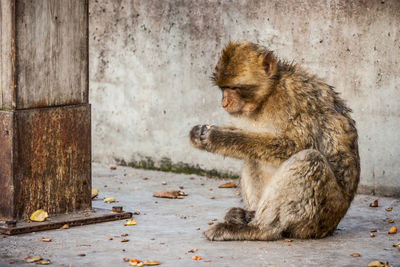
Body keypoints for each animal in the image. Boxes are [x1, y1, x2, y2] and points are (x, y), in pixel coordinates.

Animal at [189, 40, 360, 242]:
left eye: (233, 88)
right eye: (223, 89)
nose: (224, 103)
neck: (268, 95)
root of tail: (332, 225)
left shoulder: (295, 97)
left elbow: (299, 144)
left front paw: (217, 138)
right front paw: (198, 133)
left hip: (322, 216)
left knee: (310, 159)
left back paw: (259, 229)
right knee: (252, 157)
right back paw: (248, 216)